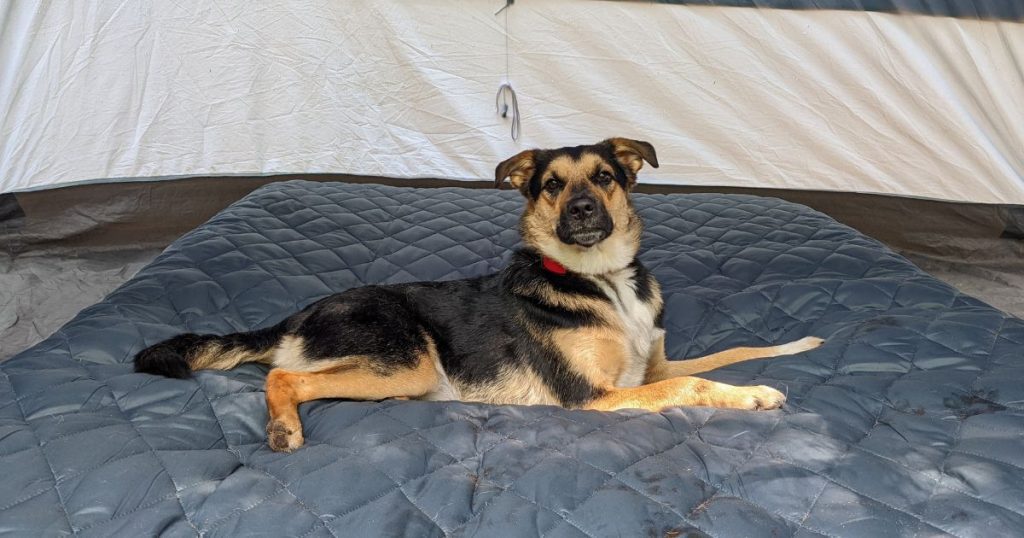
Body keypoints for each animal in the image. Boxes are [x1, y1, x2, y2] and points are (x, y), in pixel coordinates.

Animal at [136, 137, 823, 448]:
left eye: (605, 176)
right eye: (551, 185)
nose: (581, 210)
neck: (599, 279)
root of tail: (299, 313)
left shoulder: (649, 364)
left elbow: (726, 354)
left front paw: (798, 346)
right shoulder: (594, 398)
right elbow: (695, 384)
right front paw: (755, 396)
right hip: (404, 360)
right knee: (282, 377)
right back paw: (283, 428)